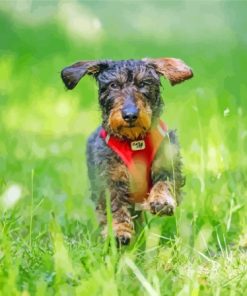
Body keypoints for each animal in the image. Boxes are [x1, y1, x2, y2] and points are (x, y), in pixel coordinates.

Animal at [61, 57, 193, 245]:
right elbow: (115, 207)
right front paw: (119, 230)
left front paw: (161, 200)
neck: (134, 141)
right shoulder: (110, 179)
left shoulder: (168, 161)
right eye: (113, 85)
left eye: (144, 83)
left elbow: (165, 181)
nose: (130, 115)